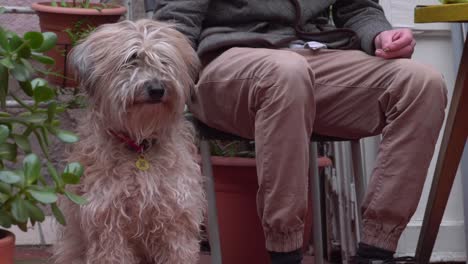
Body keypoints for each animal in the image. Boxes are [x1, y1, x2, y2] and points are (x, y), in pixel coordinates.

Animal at [53, 19, 205, 264]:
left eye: (163, 61)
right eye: (131, 60)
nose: (156, 89)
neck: (139, 145)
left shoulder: (177, 219)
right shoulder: (108, 225)